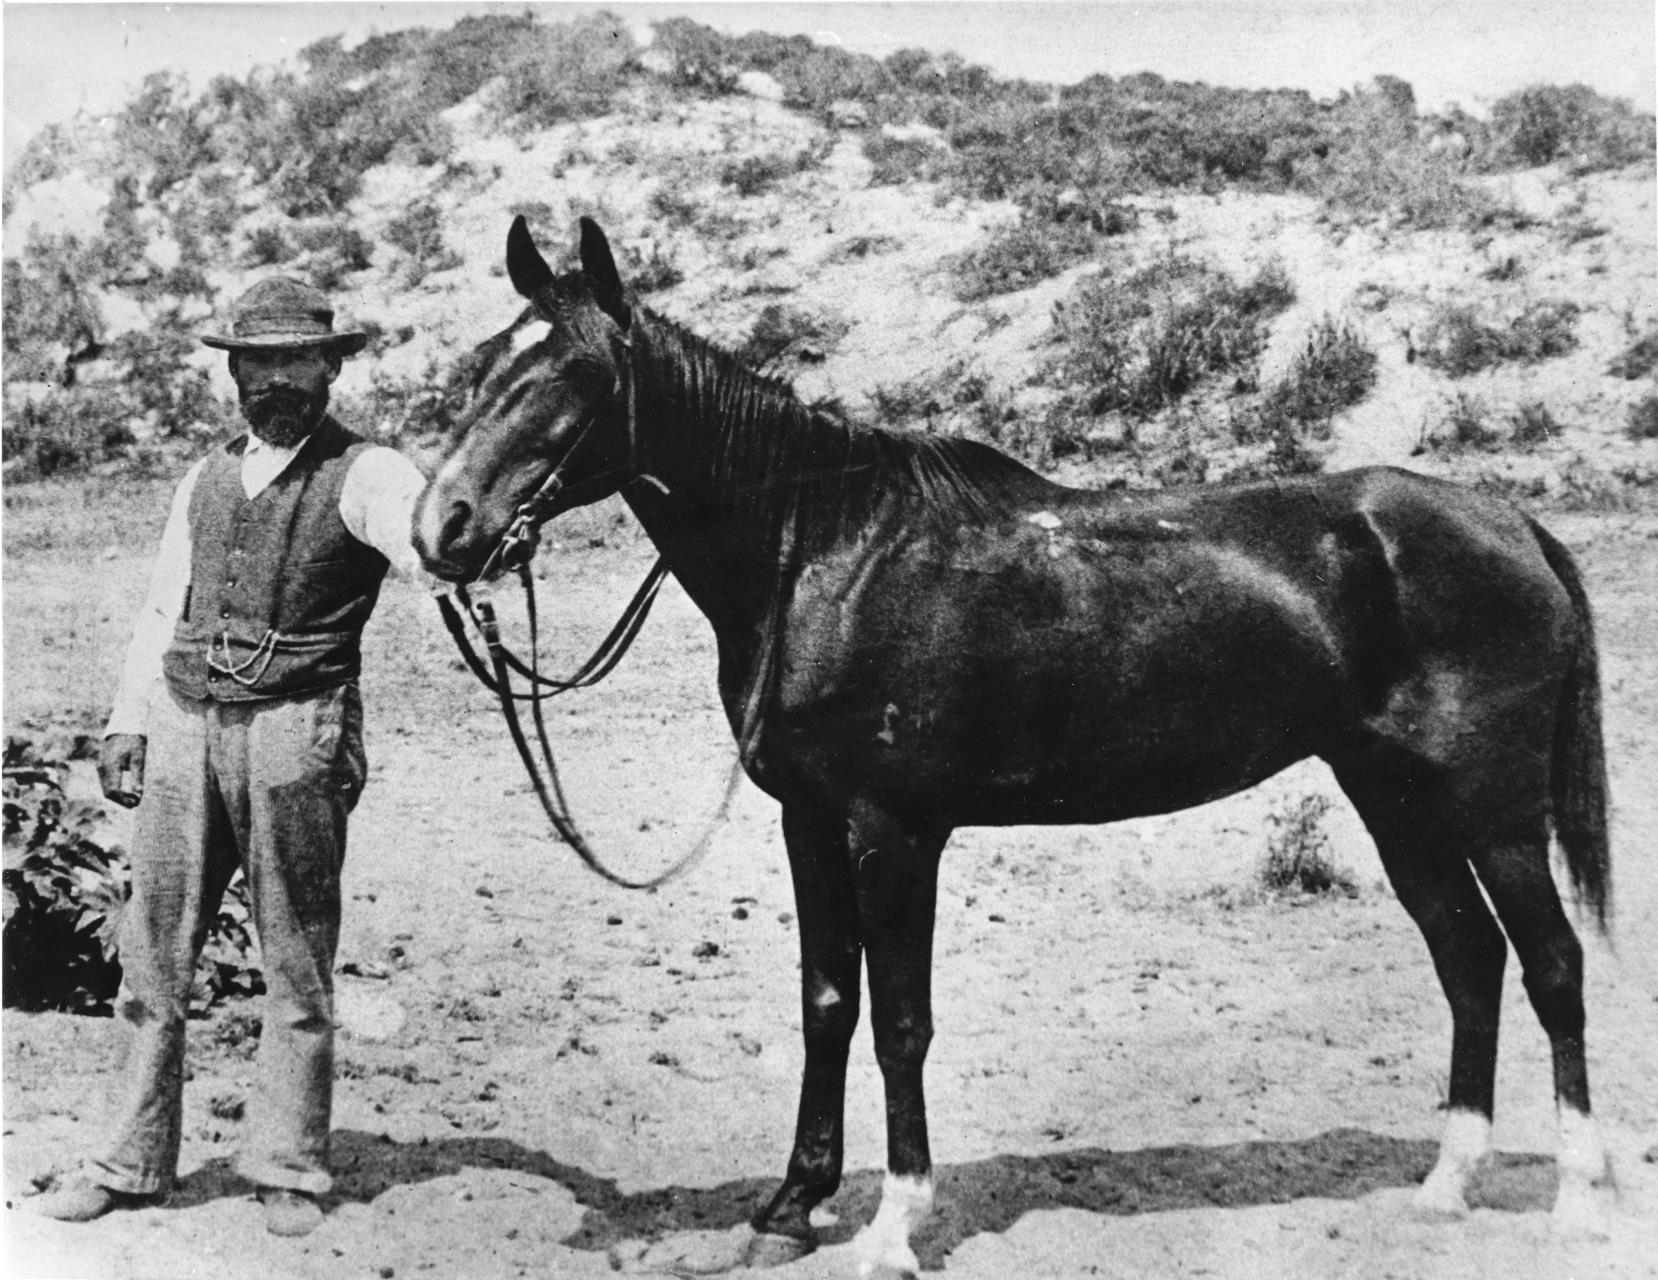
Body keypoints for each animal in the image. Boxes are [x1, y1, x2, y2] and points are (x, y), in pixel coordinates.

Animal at [407, 215, 1611, 1266]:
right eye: (484, 365)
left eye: (573, 375)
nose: (441, 528)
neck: (826, 555)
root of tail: (1509, 522)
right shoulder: (809, 821)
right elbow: (827, 1003)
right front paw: (790, 1206)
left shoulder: (894, 832)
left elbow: (900, 1021)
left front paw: (893, 1226)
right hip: (1394, 798)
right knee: (1468, 957)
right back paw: (1448, 1183)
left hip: (1497, 812)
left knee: (1550, 963)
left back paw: (1578, 1197)